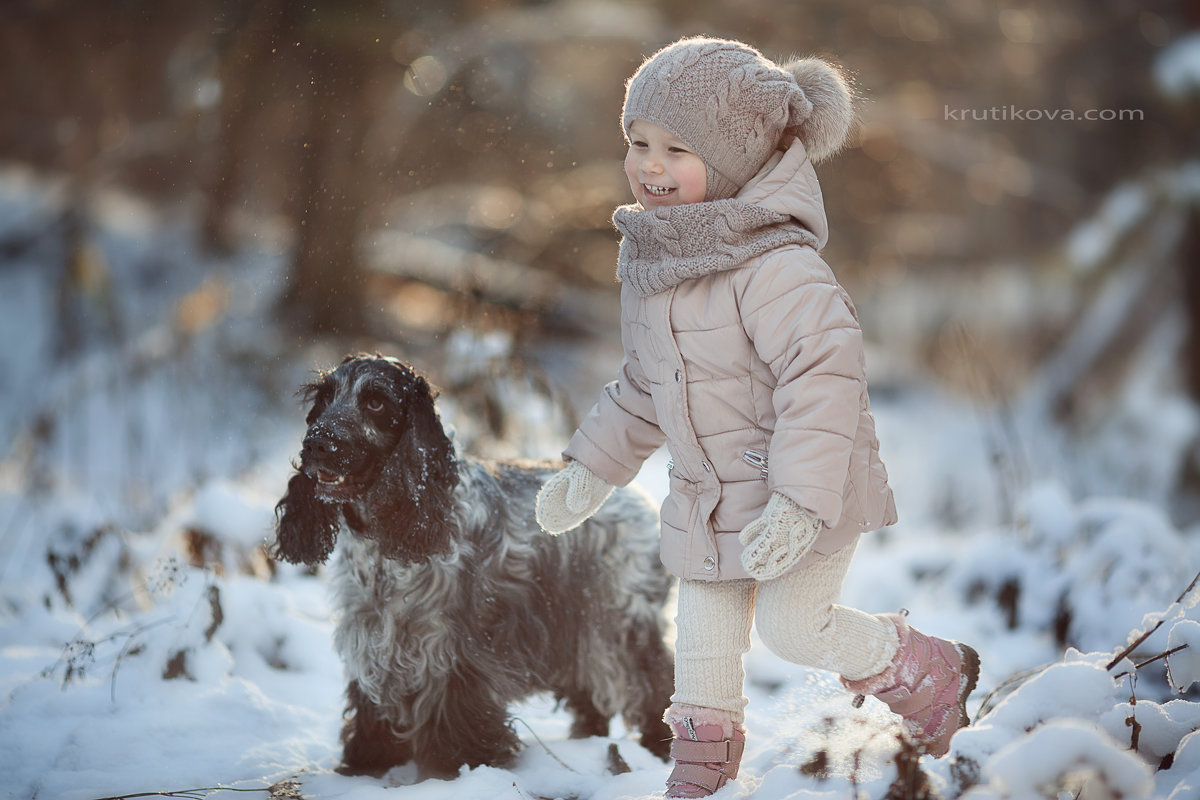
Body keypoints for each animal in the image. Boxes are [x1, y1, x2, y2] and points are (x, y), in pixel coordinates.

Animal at [274, 355, 681, 777]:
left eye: (375, 402)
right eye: (323, 399)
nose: (316, 442)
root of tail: (634, 495)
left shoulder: (452, 648)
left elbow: (456, 710)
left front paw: (461, 764)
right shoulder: (376, 640)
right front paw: (368, 760)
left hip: (619, 621)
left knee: (652, 683)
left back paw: (658, 746)